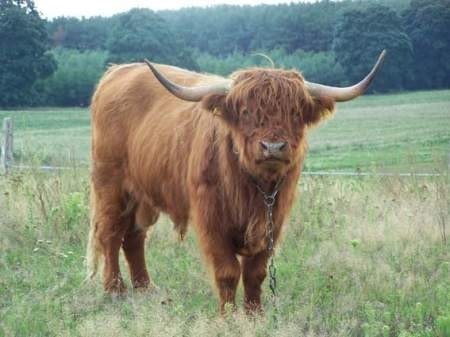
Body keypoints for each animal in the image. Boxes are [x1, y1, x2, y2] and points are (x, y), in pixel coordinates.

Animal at [88, 50, 386, 312]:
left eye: (295, 112)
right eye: (245, 112)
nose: (273, 147)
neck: (254, 187)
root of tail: (118, 71)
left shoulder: (273, 221)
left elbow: (256, 273)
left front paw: (255, 315)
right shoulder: (211, 220)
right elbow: (227, 272)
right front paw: (228, 316)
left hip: (142, 194)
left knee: (134, 236)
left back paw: (145, 288)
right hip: (111, 185)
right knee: (110, 233)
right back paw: (115, 290)